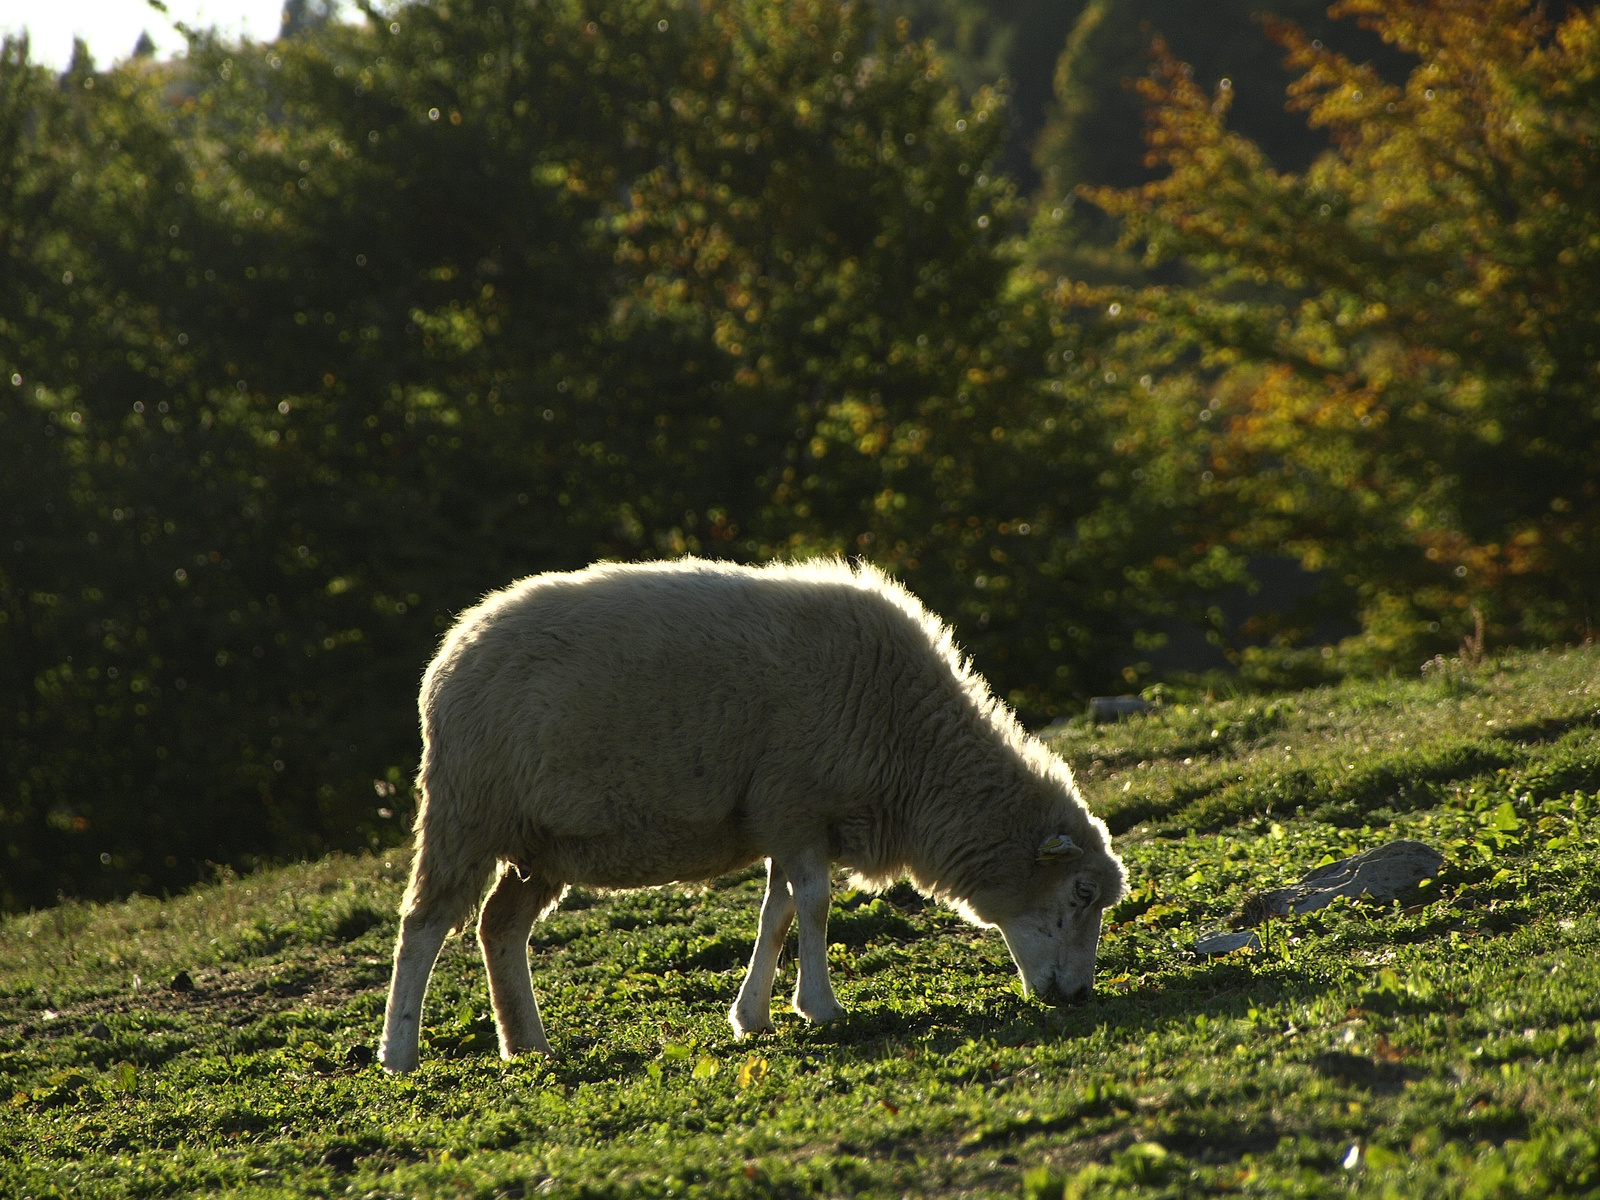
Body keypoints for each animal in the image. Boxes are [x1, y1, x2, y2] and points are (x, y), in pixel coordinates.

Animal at [374, 560, 1126, 1075]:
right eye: (1081, 893)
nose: (1078, 995)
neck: (912, 754)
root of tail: (452, 648)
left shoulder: (784, 820)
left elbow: (779, 910)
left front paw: (754, 1014)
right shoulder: (795, 801)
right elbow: (814, 905)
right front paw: (820, 1008)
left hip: (545, 845)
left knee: (499, 926)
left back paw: (528, 1045)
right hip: (466, 809)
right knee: (423, 925)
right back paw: (399, 1051)